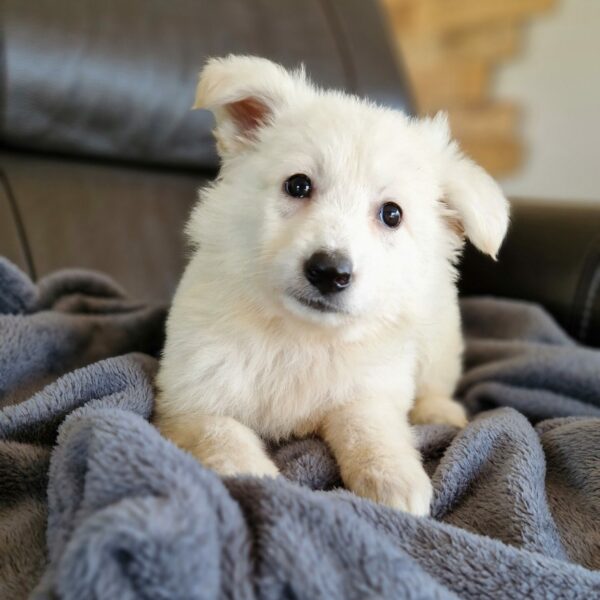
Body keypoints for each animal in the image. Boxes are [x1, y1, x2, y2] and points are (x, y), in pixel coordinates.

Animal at [152, 57, 508, 516]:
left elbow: (369, 425)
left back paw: (440, 413)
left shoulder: (371, 387)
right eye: (298, 184)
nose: (329, 271)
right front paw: (255, 477)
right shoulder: (188, 399)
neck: (301, 335)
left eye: (392, 214)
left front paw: (394, 478)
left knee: (435, 382)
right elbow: (221, 434)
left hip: (438, 336)